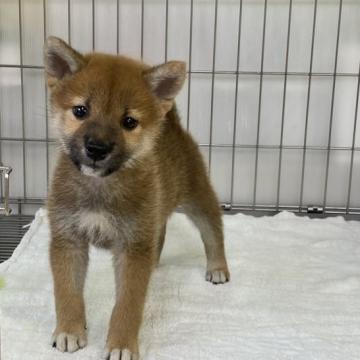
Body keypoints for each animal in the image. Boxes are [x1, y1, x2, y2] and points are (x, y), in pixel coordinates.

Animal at [44, 37, 231, 360]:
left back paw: (218, 267)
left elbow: (128, 305)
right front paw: (69, 329)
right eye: (80, 110)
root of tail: (174, 127)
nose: (97, 148)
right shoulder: (68, 239)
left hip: (197, 197)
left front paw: (121, 343)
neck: (100, 188)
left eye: (129, 121)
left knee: (213, 231)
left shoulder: (132, 248)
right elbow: (67, 292)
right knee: (161, 232)